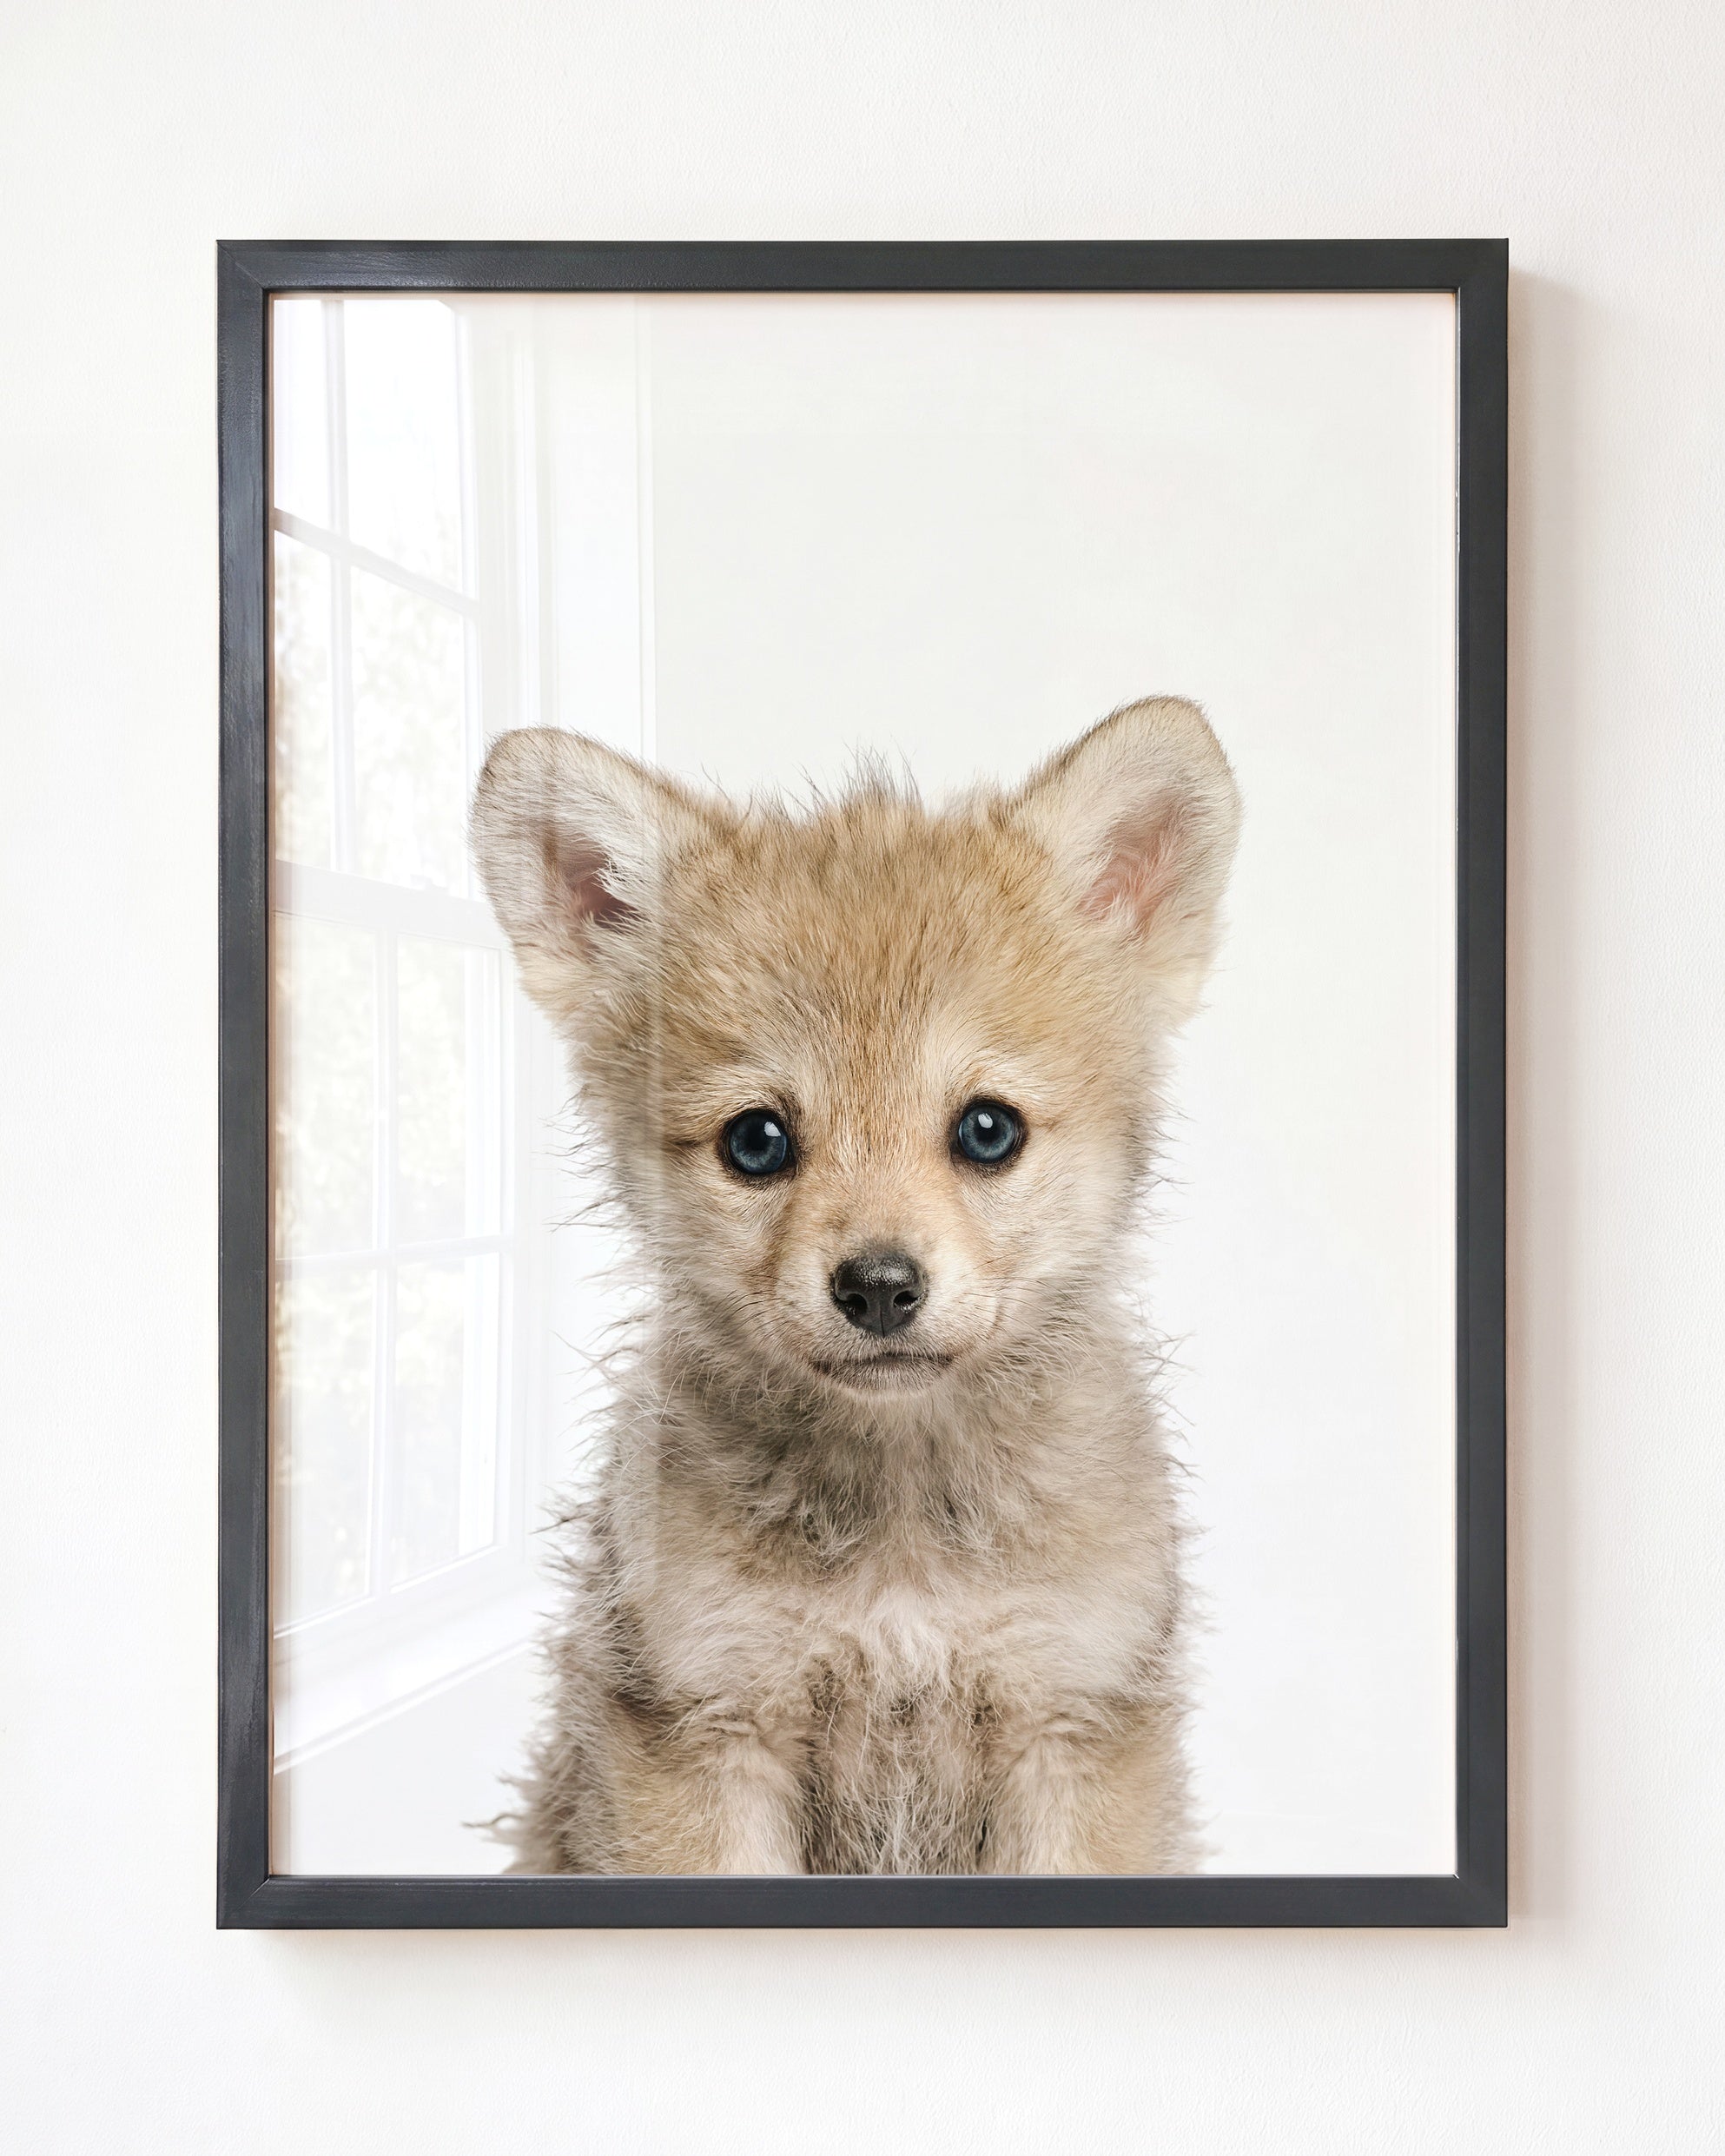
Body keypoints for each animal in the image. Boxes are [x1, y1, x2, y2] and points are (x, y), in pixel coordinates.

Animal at [470, 697, 1240, 1874]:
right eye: (756, 1141)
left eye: (987, 1129)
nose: (879, 1286)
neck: (902, 1539)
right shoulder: (708, 1726)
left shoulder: (1071, 1721)